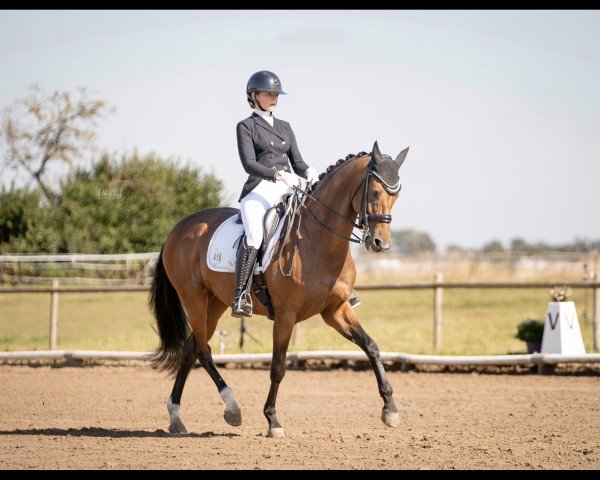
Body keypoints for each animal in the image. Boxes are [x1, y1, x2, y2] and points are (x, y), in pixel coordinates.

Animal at [149, 140, 408, 438]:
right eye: (375, 191)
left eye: (397, 195)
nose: (380, 244)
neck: (318, 240)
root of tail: (179, 229)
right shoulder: (286, 315)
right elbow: (278, 366)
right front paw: (273, 421)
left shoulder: (335, 310)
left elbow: (371, 347)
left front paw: (390, 409)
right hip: (193, 298)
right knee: (203, 350)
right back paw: (232, 408)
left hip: (215, 303)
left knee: (191, 349)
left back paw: (177, 417)